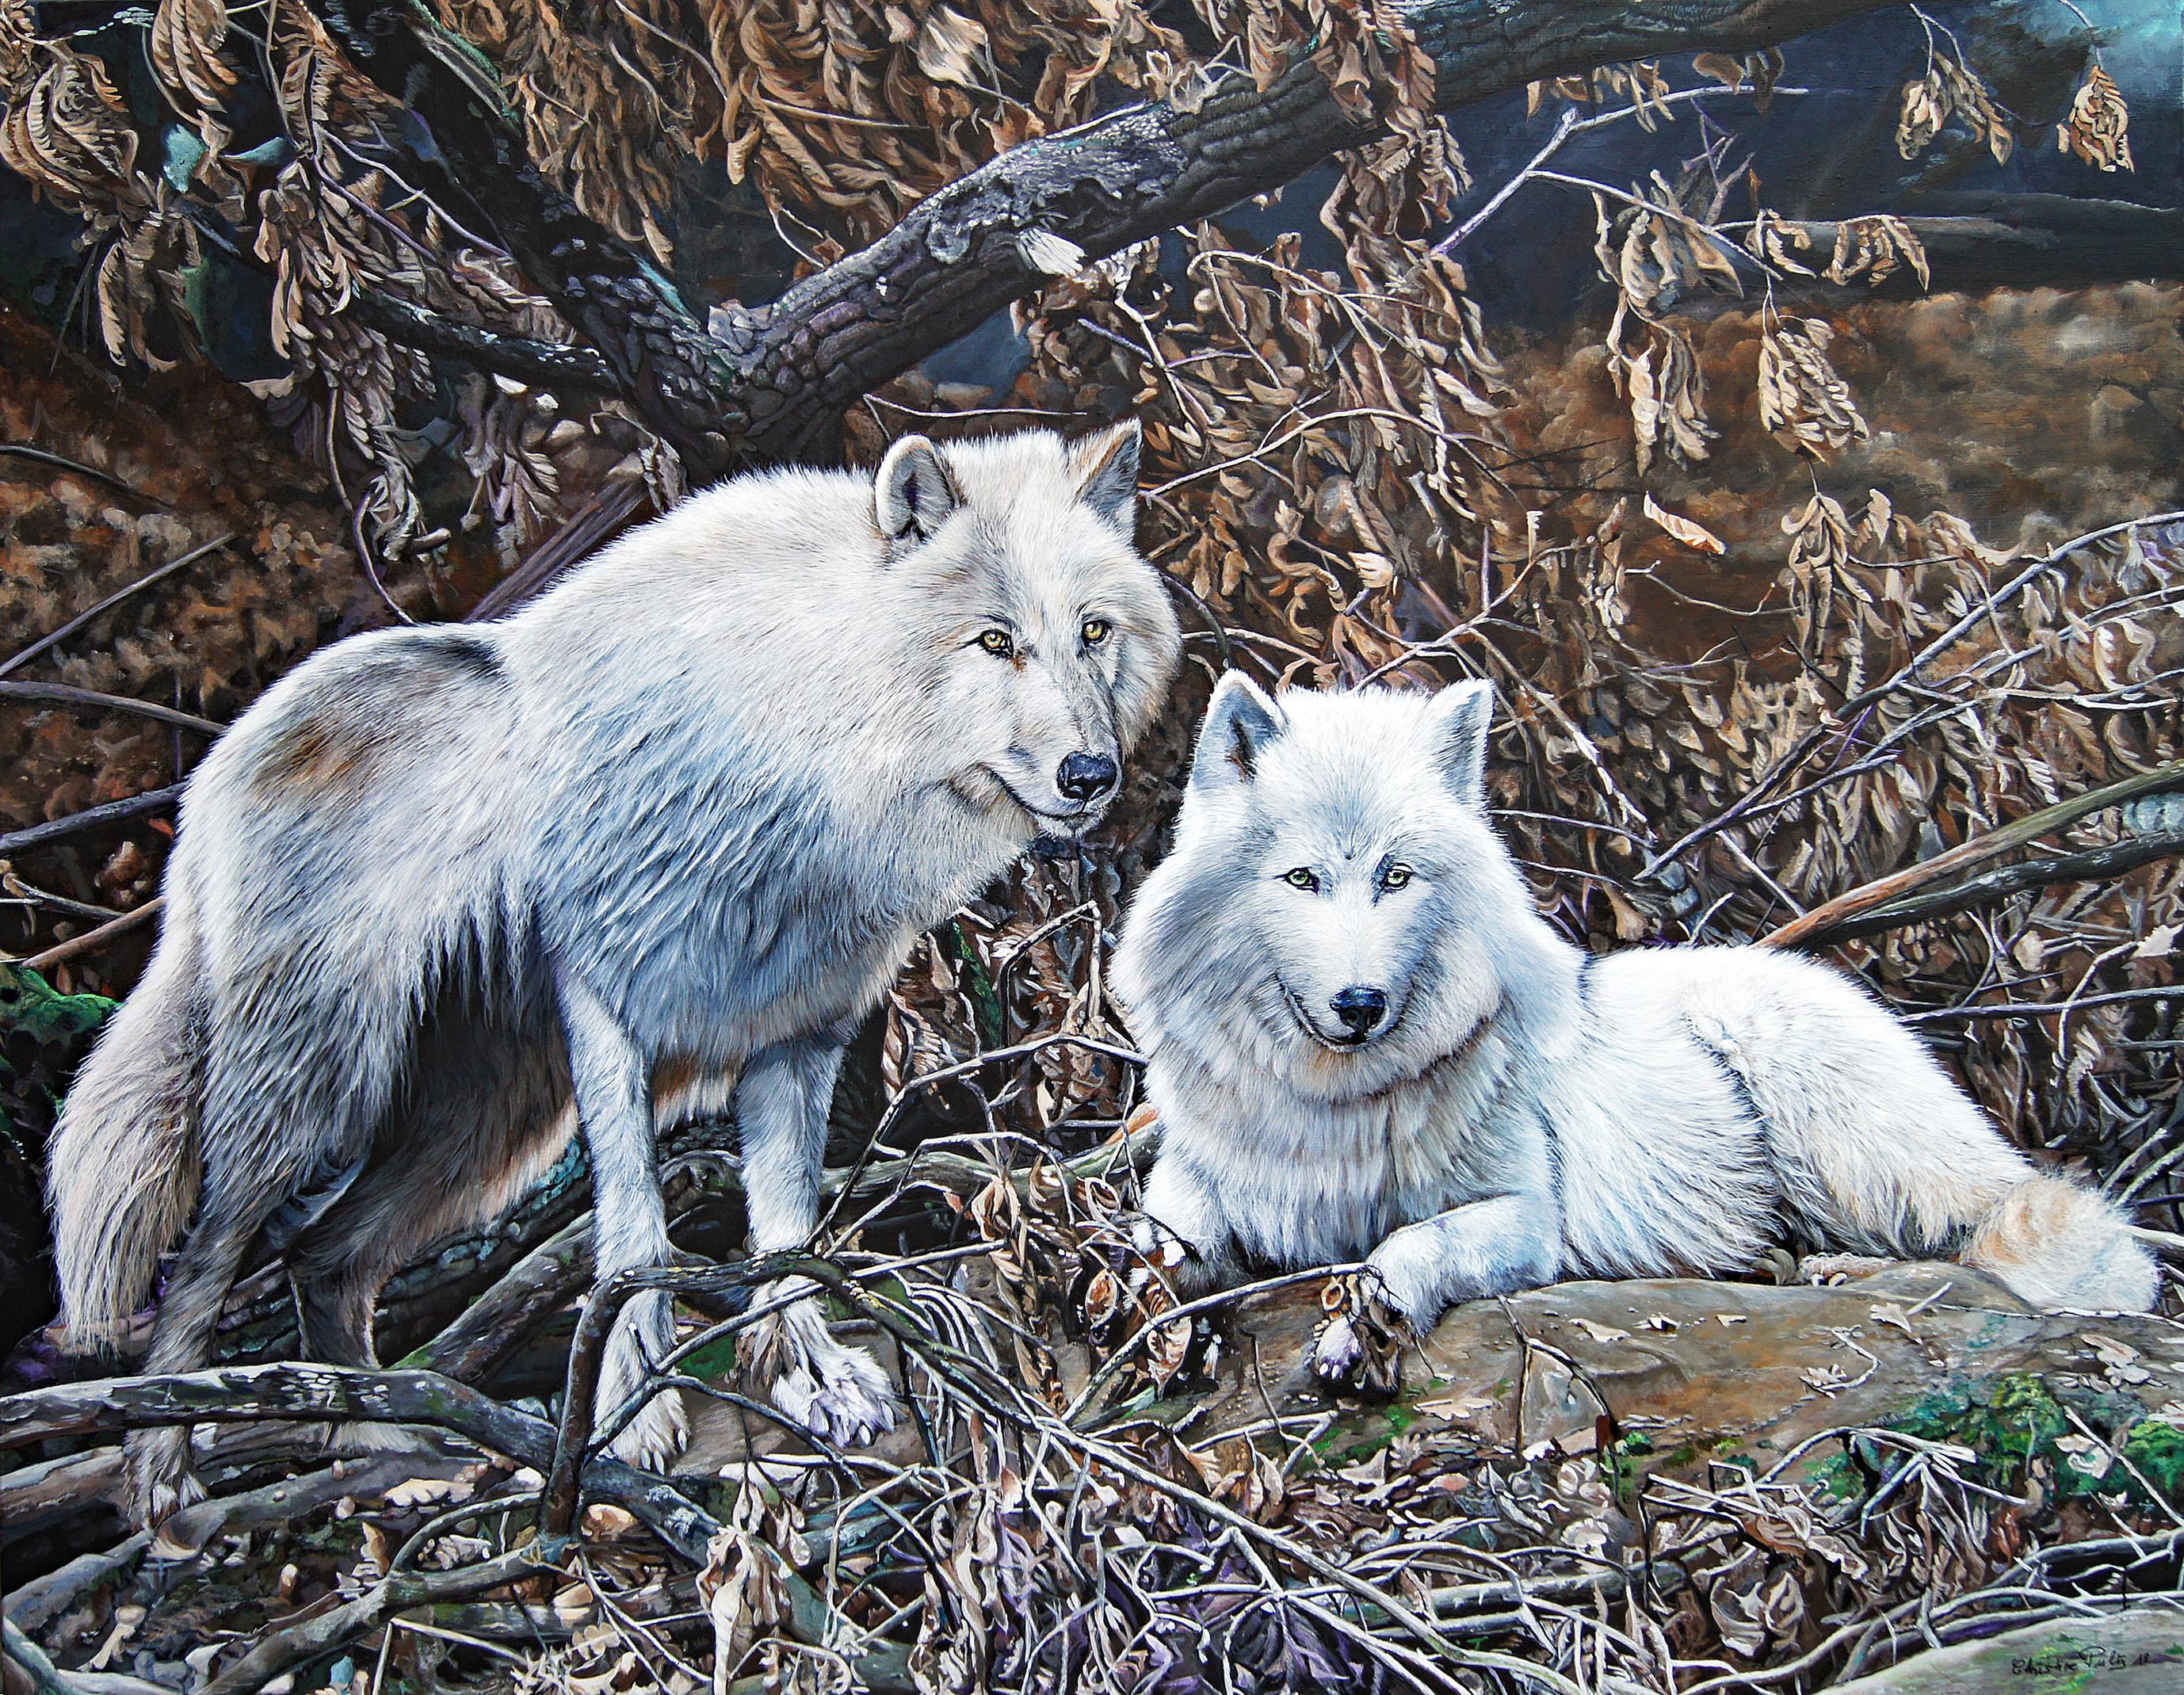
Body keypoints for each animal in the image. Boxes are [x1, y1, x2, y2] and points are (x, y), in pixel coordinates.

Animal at [1118, 668, 2157, 1372]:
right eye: (1301, 879)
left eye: (1395, 876)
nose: (1359, 1005)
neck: (1328, 1107)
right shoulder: (1204, 1169)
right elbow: (1167, 1223)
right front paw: (1146, 1301)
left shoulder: (1526, 1220)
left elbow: (1412, 1242)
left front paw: (1362, 1320)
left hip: (1838, 1130)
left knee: (1970, 1241)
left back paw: (1841, 1273)